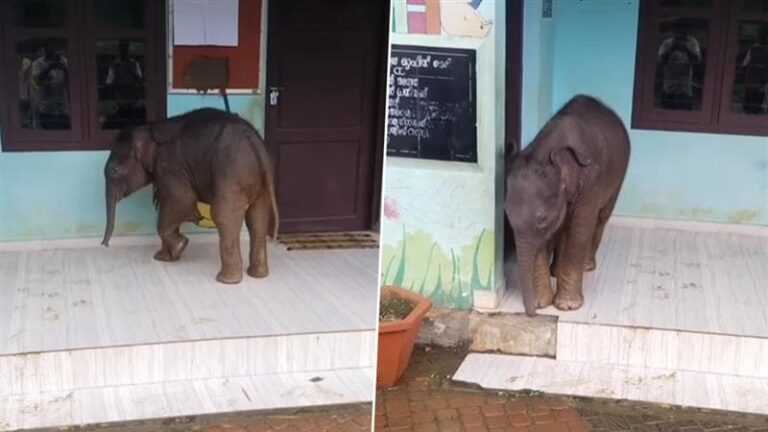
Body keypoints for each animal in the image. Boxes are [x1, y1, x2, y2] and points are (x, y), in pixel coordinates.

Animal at [101, 108, 280, 284]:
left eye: (115, 170)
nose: (105, 244)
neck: (149, 128)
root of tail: (255, 143)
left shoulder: (171, 168)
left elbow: (184, 200)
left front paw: (180, 245)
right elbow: (169, 204)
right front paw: (165, 257)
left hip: (231, 173)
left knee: (223, 214)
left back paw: (226, 280)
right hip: (257, 179)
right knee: (257, 216)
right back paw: (258, 275)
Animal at [505, 95, 630, 316]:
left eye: (542, 218)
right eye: (506, 214)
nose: (532, 314)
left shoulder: (592, 182)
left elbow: (580, 229)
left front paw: (567, 306)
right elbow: (548, 236)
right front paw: (542, 303)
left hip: (619, 176)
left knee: (601, 218)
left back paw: (587, 266)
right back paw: (555, 271)